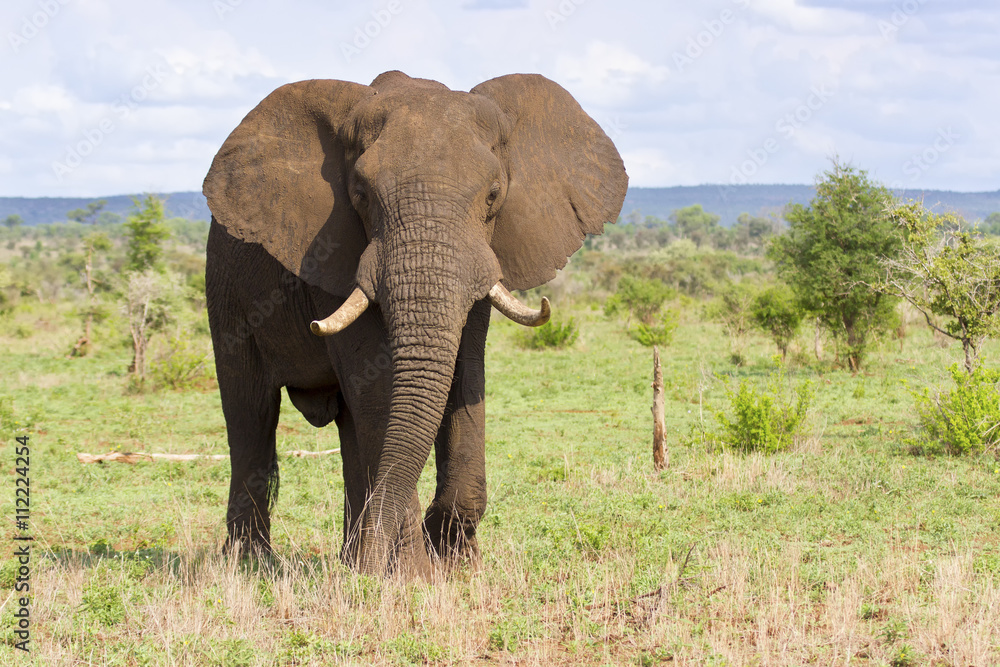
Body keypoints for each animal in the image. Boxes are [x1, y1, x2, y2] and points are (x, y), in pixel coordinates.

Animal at [202, 70, 624, 576]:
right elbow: (376, 389)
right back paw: (251, 565)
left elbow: (465, 375)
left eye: (494, 195)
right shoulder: (333, 253)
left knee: (346, 427)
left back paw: (350, 560)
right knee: (251, 412)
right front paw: (409, 575)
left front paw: (454, 563)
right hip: (224, 288)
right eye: (360, 196)